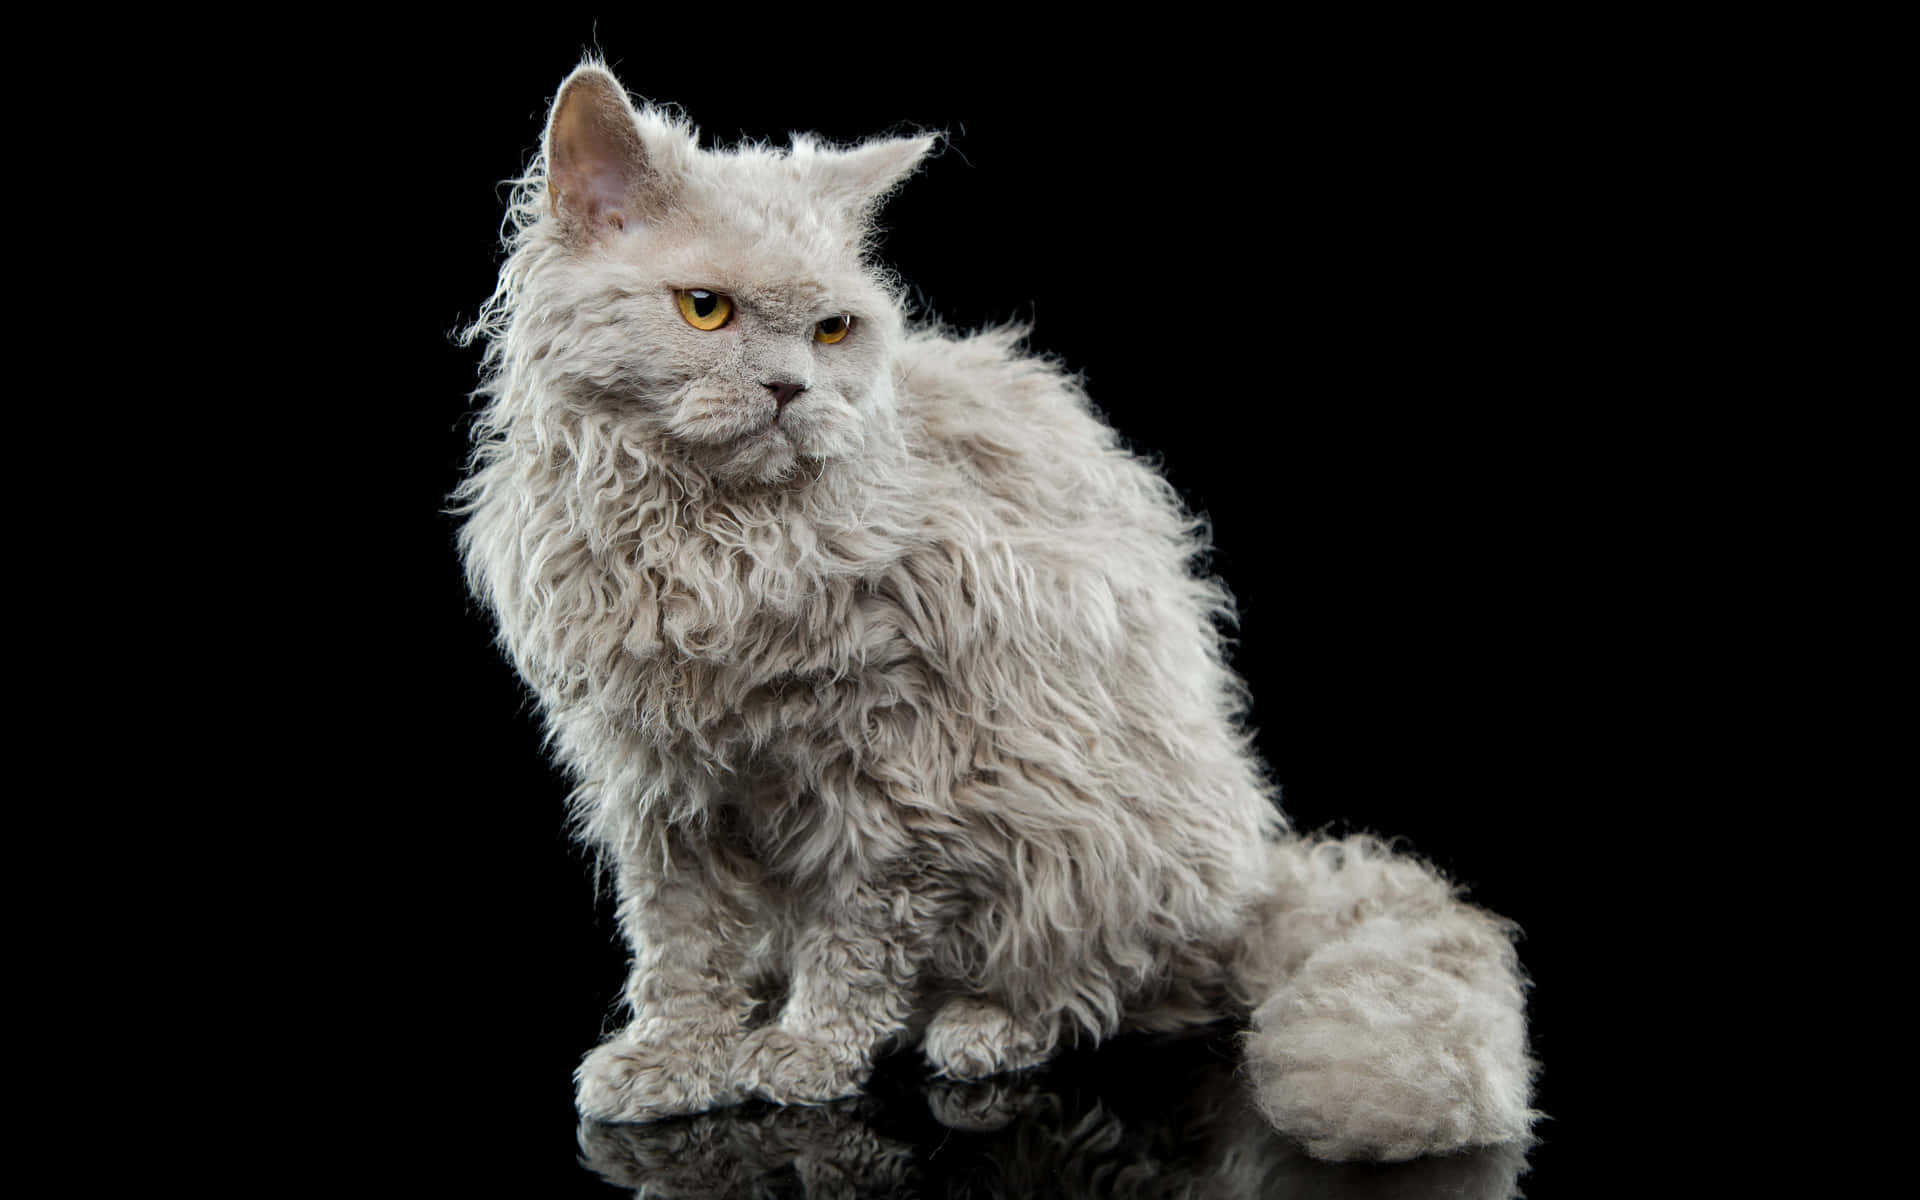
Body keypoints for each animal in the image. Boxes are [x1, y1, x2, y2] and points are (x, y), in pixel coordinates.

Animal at [449, 58, 1528, 1159]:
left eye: (833, 330)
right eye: (704, 310)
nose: (792, 389)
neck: (712, 542)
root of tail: (1254, 879)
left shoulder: (900, 776)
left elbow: (858, 941)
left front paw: (808, 1055)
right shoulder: (659, 788)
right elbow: (681, 947)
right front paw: (676, 1058)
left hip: (1091, 830)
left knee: (1116, 989)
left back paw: (983, 1027)